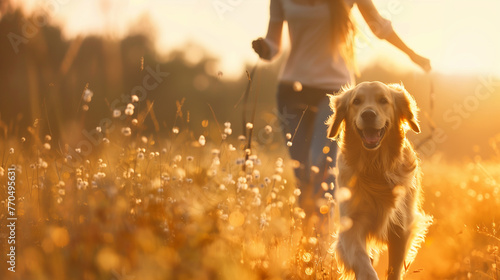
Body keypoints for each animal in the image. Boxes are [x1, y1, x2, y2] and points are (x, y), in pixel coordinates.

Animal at [326, 80, 432, 278]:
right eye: (356, 101)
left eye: (383, 100)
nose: (368, 114)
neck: (375, 168)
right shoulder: (351, 224)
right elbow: (361, 259)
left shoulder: (401, 228)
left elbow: (395, 267)